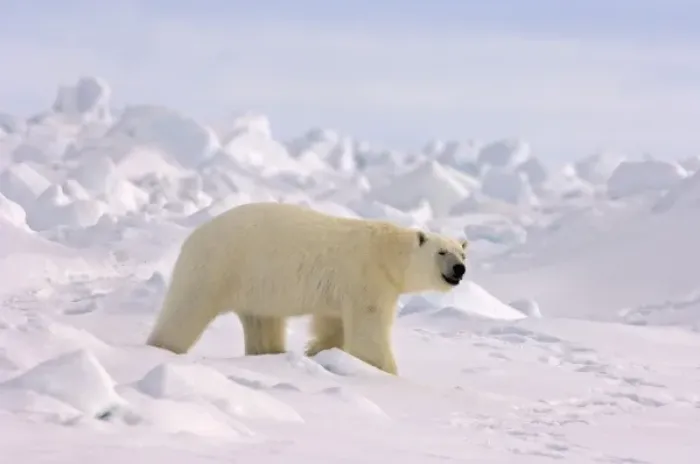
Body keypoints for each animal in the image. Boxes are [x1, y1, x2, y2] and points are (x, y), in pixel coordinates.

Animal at [145, 201, 468, 375]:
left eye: (462, 253)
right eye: (442, 252)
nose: (459, 269)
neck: (387, 253)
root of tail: (193, 237)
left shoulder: (345, 291)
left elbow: (333, 324)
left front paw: (317, 352)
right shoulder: (368, 279)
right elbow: (369, 329)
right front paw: (385, 370)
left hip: (255, 287)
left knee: (263, 324)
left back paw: (271, 353)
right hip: (218, 267)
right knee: (186, 311)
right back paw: (161, 347)